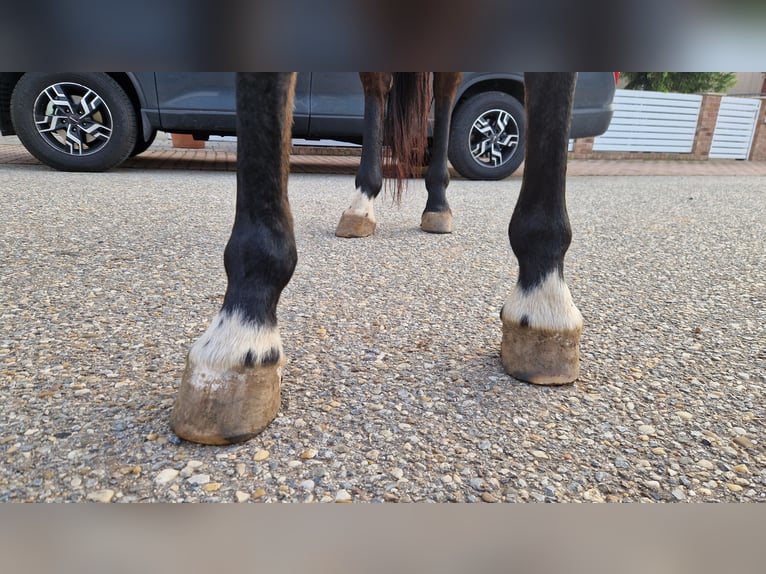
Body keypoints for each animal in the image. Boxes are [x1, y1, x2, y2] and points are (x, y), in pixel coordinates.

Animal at [170, 72, 581, 445]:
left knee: (446, 88)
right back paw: (362, 203)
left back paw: (438, 205)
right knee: (377, 85)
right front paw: (239, 335)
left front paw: (544, 300)